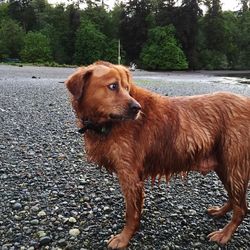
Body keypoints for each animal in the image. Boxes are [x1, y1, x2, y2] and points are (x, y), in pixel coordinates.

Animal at [66, 61, 250, 249]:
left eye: (127, 88)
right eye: (113, 86)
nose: (137, 108)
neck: (106, 124)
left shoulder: (129, 175)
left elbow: (131, 213)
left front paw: (124, 238)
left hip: (235, 165)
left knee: (242, 208)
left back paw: (225, 234)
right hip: (225, 166)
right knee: (235, 200)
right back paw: (220, 211)